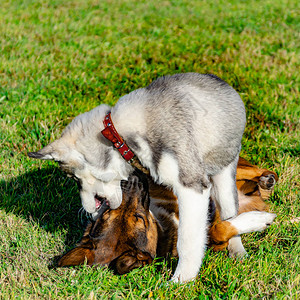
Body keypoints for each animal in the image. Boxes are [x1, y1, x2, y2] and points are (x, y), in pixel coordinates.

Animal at [28, 73, 246, 284]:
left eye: (75, 179)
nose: (88, 211)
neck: (119, 135)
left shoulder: (192, 185)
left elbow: (187, 240)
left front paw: (181, 280)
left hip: (224, 176)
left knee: (229, 212)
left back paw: (237, 250)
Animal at [57, 158, 278, 276]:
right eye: (139, 218)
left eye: (108, 212)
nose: (129, 180)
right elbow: (218, 230)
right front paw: (258, 220)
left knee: (257, 170)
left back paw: (266, 178)